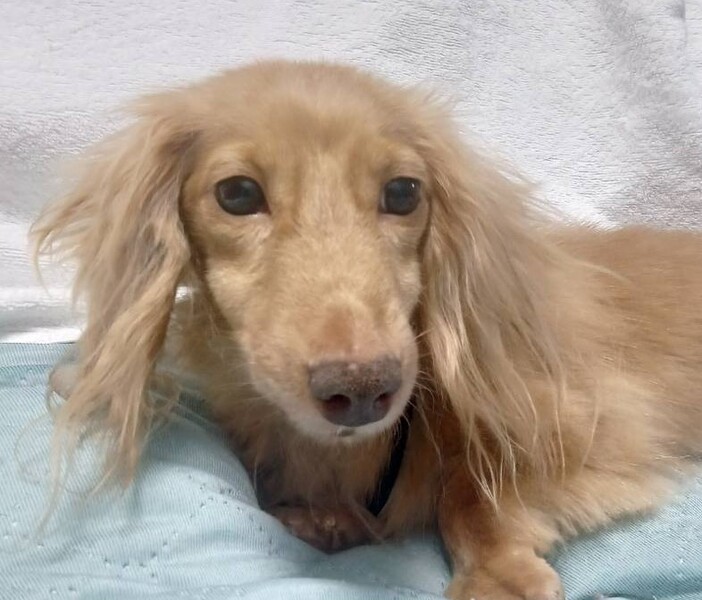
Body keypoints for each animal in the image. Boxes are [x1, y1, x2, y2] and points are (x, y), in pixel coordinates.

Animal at [32, 60, 702, 600]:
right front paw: (322, 518)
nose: (361, 390)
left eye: (404, 191)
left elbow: (469, 491)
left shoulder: (594, 426)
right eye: (237, 193)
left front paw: (497, 574)